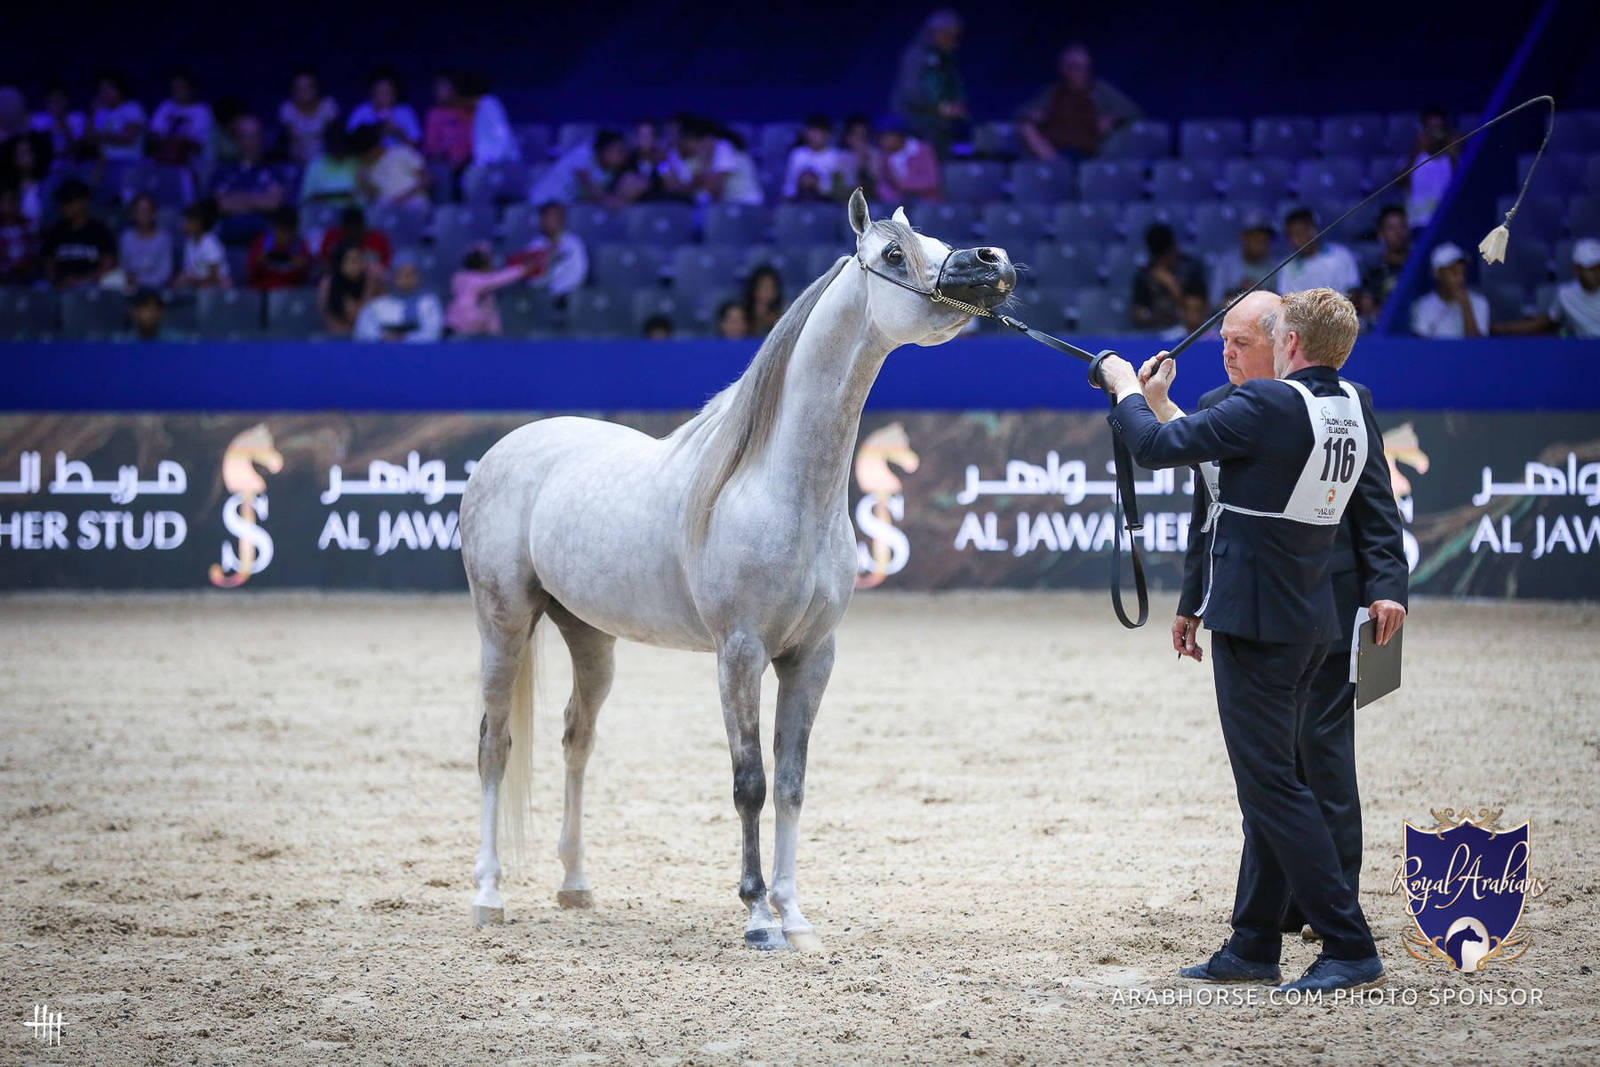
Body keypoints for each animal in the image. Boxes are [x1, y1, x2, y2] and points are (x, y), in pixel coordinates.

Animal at [458, 189, 1015, 951]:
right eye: (894, 253)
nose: (993, 261)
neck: (778, 487)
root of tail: (505, 449)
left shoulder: (812, 657)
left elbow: (792, 781)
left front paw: (794, 913)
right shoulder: (740, 654)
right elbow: (749, 780)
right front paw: (757, 916)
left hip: (589, 635)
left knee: (577, 738)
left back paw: (575, 883)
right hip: (503, 623)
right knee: (495, 744)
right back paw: (488, 894)